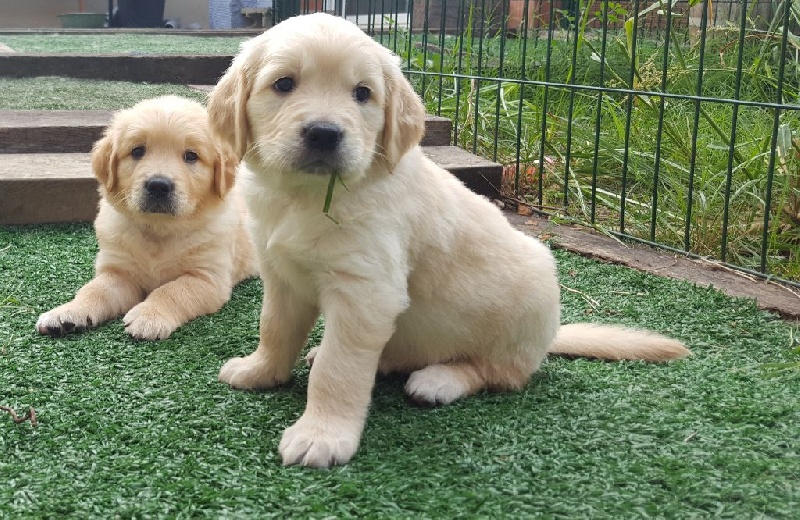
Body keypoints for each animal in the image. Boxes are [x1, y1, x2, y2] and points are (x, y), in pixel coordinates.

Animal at [36, 96, 256, 342]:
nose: (158, 185)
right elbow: (94, 290)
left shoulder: (207, 277)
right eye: (137, 151)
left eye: (191, 156)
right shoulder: (118, 272)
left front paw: (149, 316)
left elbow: (172, 290)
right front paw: (68, 311)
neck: (159, 230)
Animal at [206, 14, 688, 470]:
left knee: (499, 373)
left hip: (530, 302)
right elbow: (273, 328)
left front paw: (321, 435)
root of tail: (550, 337)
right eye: (283, 84)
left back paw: (440, 380)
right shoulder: (283, 277)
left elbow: (338, 368)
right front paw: (261, 371)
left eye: (362, 94)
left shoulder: (366, 292)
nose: (325, 133)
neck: (303, 198)